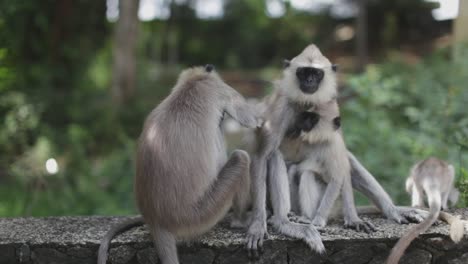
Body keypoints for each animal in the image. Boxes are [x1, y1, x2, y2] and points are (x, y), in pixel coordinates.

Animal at [98, 64, 264, 264]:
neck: (191, 84)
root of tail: (157, 220)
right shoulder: (218, 88)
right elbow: (252, 121)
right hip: (202, 214)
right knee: (240, 157)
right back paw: (240, 220)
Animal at [249, 44, 428, 256]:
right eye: (303, 72)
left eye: (316, 73)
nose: (309, 80)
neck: (307, 104)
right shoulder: (281, 107)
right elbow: (262, 156)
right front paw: (257, 225)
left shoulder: (331, 105)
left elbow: (342, 160)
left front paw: (353, 220)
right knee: (274, 156)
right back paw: (284, 222)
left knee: (347, 159)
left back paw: (393, 211)